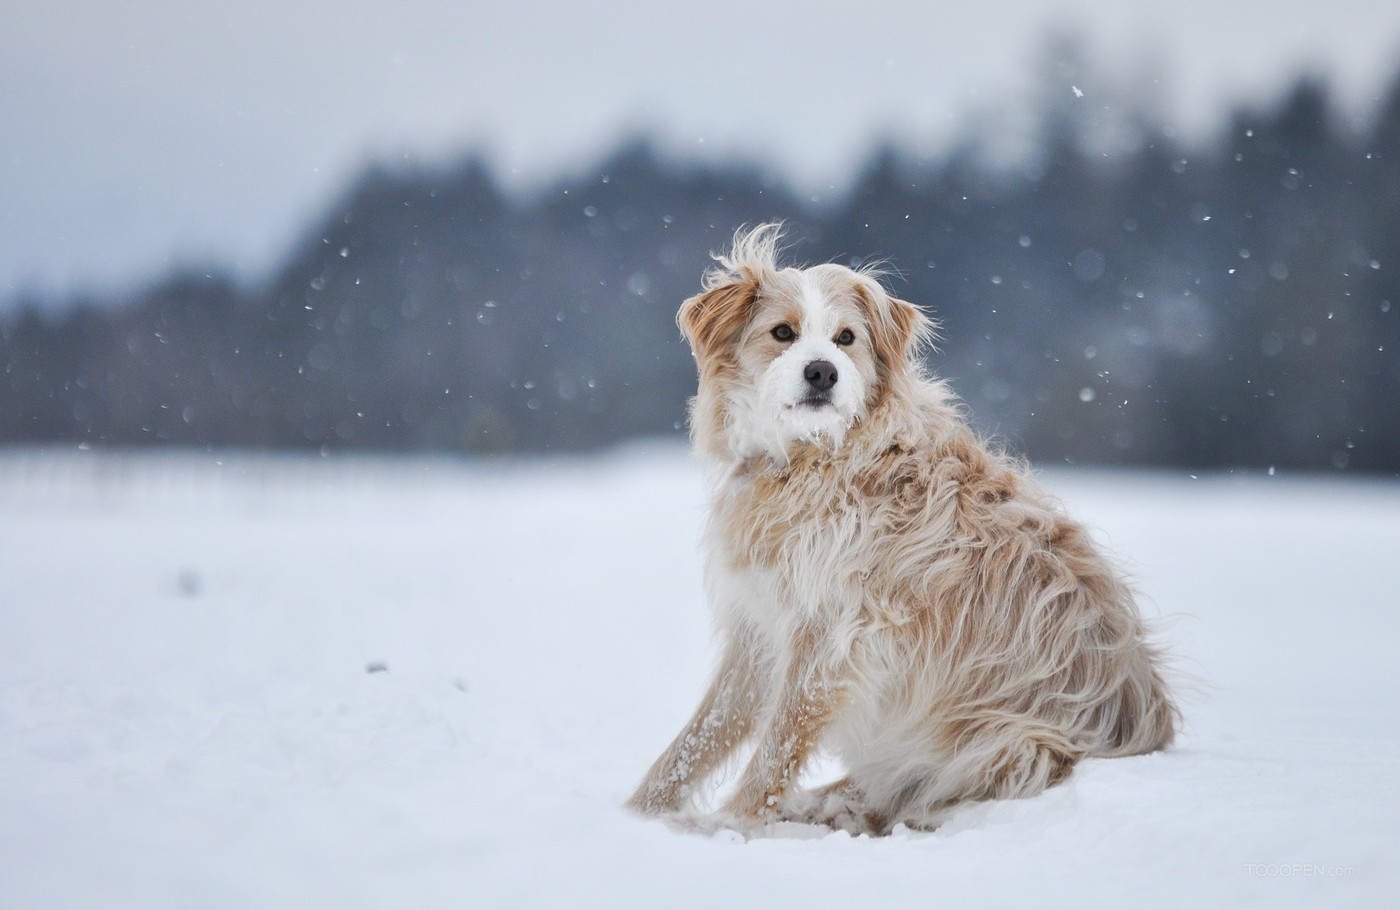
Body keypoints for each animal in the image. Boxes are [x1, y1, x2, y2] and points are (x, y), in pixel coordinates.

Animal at [630, 222, 1176, 834]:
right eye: (782, 332)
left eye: (845, 338)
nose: (822, 371)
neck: (814, 457)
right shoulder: (759, 629)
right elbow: (698, 739)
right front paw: (637, 815)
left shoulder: (835, 635)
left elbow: (777, 746)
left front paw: (730, 825)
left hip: (1008, 746)